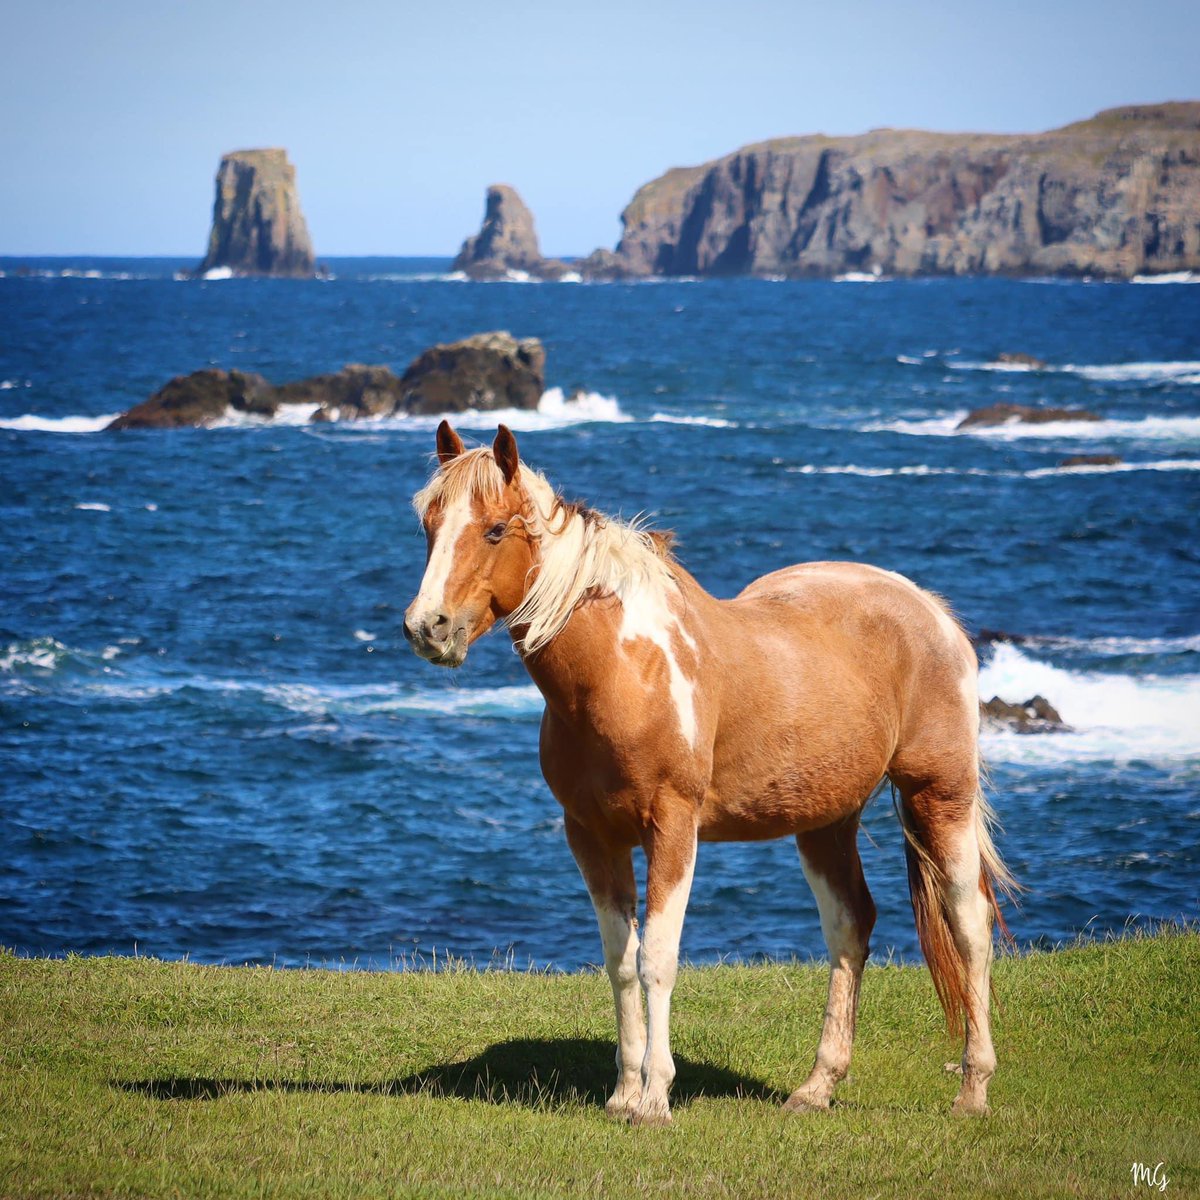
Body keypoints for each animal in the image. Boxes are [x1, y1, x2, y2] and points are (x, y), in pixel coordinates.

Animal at [403, 420, 1012, 1123]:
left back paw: (974, 1090)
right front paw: (622, 1094)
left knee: (970, 926)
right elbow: (620, 961)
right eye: (428, 523)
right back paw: (817, 1087)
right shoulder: (591, 836)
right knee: (850, 928)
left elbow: (658, 960)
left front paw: (654, 1098)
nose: (427, 627)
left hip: (940, 796)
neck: (621, 670)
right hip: (826, 822)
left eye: (496, 529)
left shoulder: (672, 827)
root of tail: (933, 613)